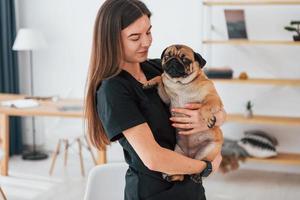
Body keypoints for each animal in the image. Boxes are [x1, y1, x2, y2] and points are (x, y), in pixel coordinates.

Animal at [144, 45, 224, 183]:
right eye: (167, 56)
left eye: (185, 60)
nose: (173, 60)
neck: (181, 84)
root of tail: (190, 155)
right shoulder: (167, 99)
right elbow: (160, 78)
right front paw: (150, 82)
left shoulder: (213, 98)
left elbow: (205, 107)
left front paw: (208, 118)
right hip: (177, 153)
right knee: (182, 174)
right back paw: (172, 176)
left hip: (209, 149)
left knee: (202, 163)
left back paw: (196, 176)